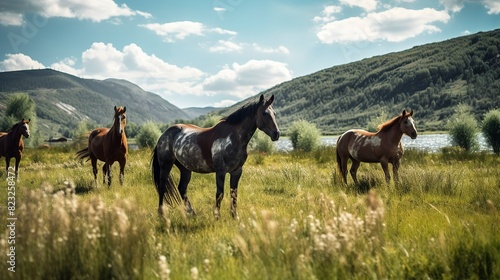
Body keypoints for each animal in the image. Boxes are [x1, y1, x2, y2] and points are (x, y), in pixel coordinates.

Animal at [150, 94, 280, 219]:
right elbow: (220, 194)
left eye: (274, 113)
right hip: (166, 165)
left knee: (182, 188)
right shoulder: (220, 171)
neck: (232, 138)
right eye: (264, 113)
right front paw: (217, 216)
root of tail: (164, 134)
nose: (277, 134)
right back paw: (162, 213)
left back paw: (191, 213)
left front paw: (234, 216)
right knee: (162, 187)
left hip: (185, 168)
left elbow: (234, 194)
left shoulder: (237, 171)